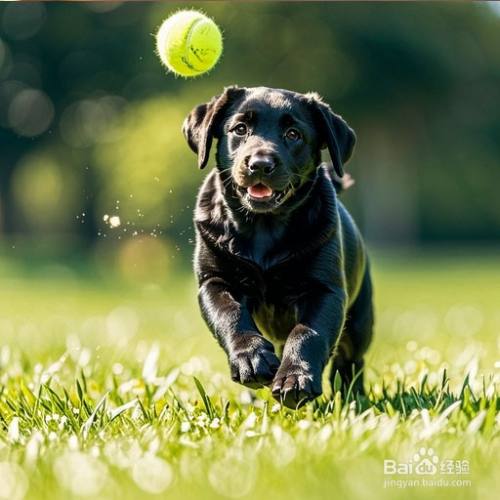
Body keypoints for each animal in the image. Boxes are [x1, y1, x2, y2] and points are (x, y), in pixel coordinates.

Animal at [183, 86, 372, 406]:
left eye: (293, 134)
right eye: (240, 129)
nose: (260, 164)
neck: (263, 228)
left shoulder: (325, 290)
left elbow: (308, 333)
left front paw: (296, 379)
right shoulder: (215, 281)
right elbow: (231, 316)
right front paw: (251, 360)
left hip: (359, 322)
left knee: (349, 362)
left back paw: (352, 399)